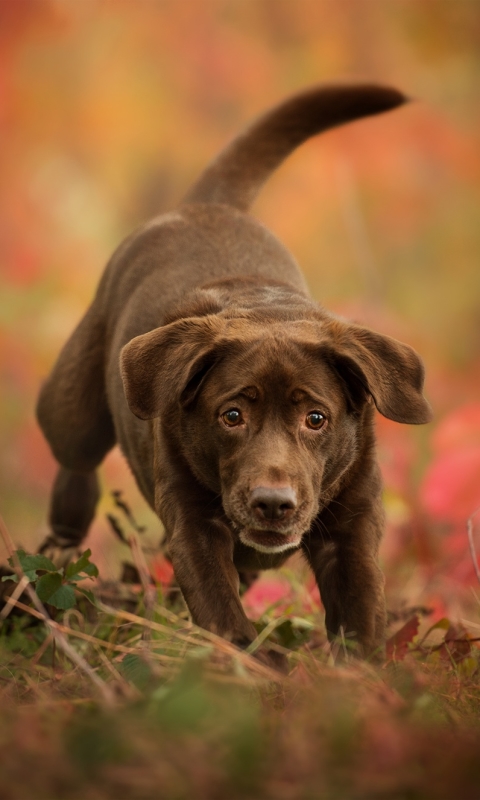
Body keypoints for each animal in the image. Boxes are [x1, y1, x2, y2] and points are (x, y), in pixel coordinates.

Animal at [35, 84, 432, 668]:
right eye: (232, 415)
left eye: (317, 418)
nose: (273, 503)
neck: (265, 311)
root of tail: (209, 203)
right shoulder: (193, 523)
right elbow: (218, 603)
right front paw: (252, 663)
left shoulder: (352, 524)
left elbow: (359, 605)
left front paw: (357, 673)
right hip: (74, 413)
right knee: (74, 460)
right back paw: (59, 544)